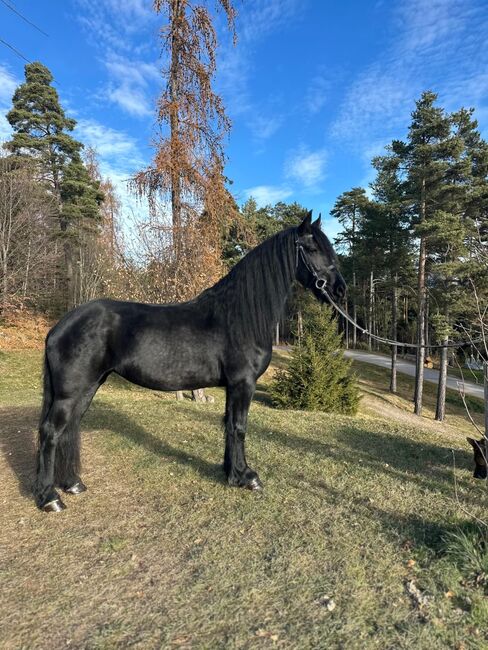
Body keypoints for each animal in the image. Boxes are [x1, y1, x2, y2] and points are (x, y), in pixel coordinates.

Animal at [34, 210, 346, 508]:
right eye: (313, 248)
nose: (339, 289)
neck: (239, 317)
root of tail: (59, 326)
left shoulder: (232, 386)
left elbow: (228, 424)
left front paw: (231, 472)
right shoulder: (243, 383)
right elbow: (239, 427)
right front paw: (247, 477)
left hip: (89, 386)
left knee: (70, 428)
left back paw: (73, 483)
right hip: (70, 392)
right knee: (51, 431)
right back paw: (50, 497)